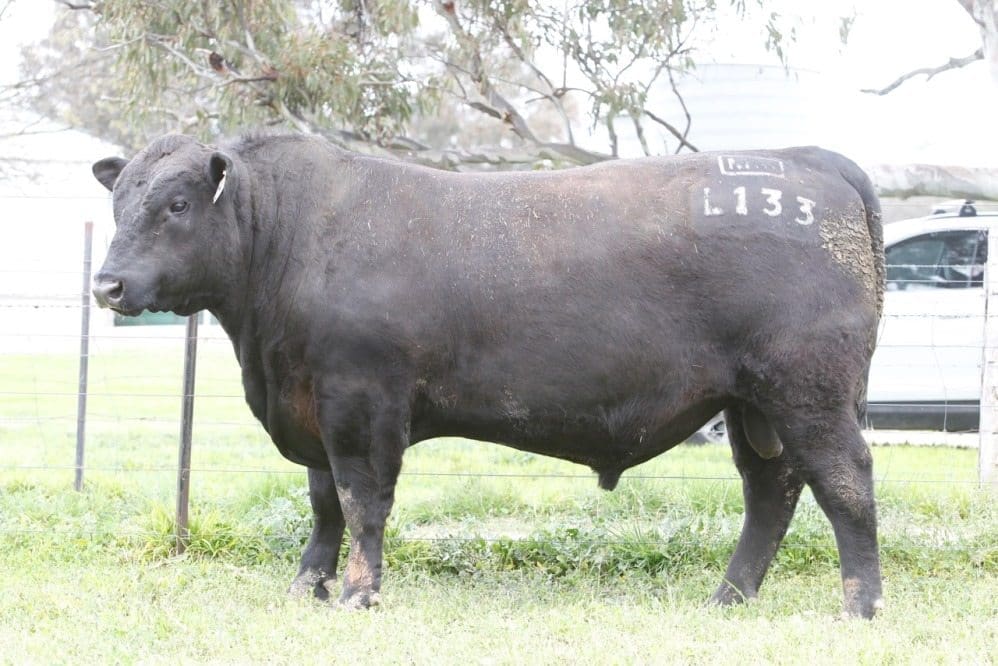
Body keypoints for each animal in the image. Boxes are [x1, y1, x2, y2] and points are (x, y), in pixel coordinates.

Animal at [94, 134, 888, 616]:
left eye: (176, 203)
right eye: (118, 200)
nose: (106, 285)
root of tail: (808, 157)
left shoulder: (362, 402)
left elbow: (361, 502)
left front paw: (358, 595)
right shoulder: (313, 406)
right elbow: (323, 505)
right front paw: (305, 589)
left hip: (807, 391)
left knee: (844, 483)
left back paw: (859, 605)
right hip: (753, 405)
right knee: (772, 492)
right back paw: (729, 597)